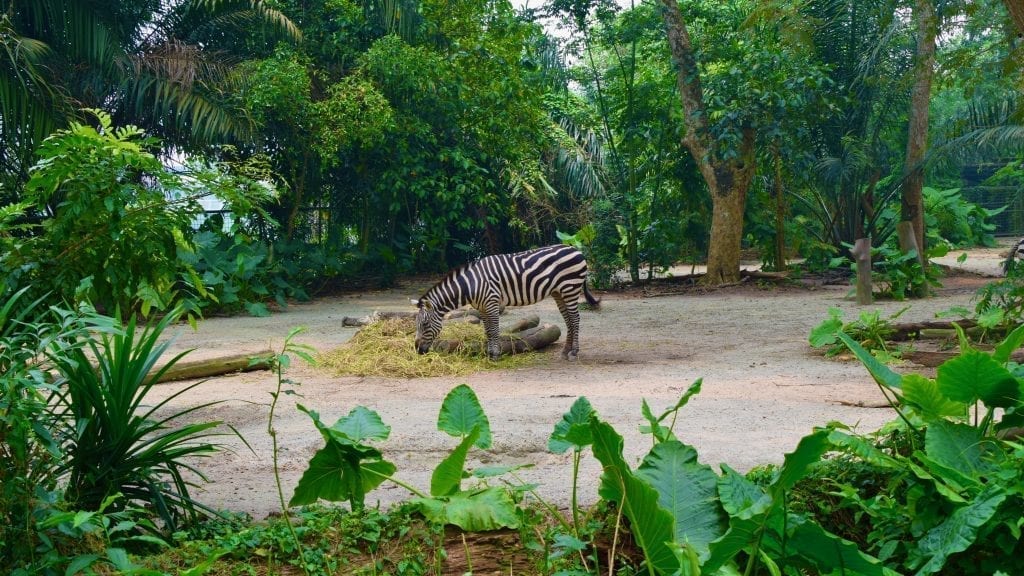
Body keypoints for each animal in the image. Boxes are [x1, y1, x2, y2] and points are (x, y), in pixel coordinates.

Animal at [409, 241, 598, 358]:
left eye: (424, 324)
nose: (417, 350)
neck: (470, 285)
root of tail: (576, 249)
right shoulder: (481, 307)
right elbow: (487, 331)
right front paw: (489, 353)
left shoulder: (491, 303)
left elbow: (494, 331)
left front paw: (495, 354)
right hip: (559, 292)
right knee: (568, 320)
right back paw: (566, 351)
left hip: (570, 288)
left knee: (575, 319)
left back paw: (574, 352)